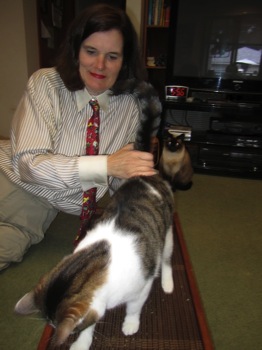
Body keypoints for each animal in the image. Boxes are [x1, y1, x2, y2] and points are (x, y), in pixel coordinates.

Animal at [14, 174, 174, 348]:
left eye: (69, 328)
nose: (70, 333)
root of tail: (147, 177)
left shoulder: (142, 287)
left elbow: (134, 307)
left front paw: (130, 324)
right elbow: (90, 324)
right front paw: (82, 343)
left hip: (167, 234)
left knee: (166, 258)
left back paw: (167, 283)